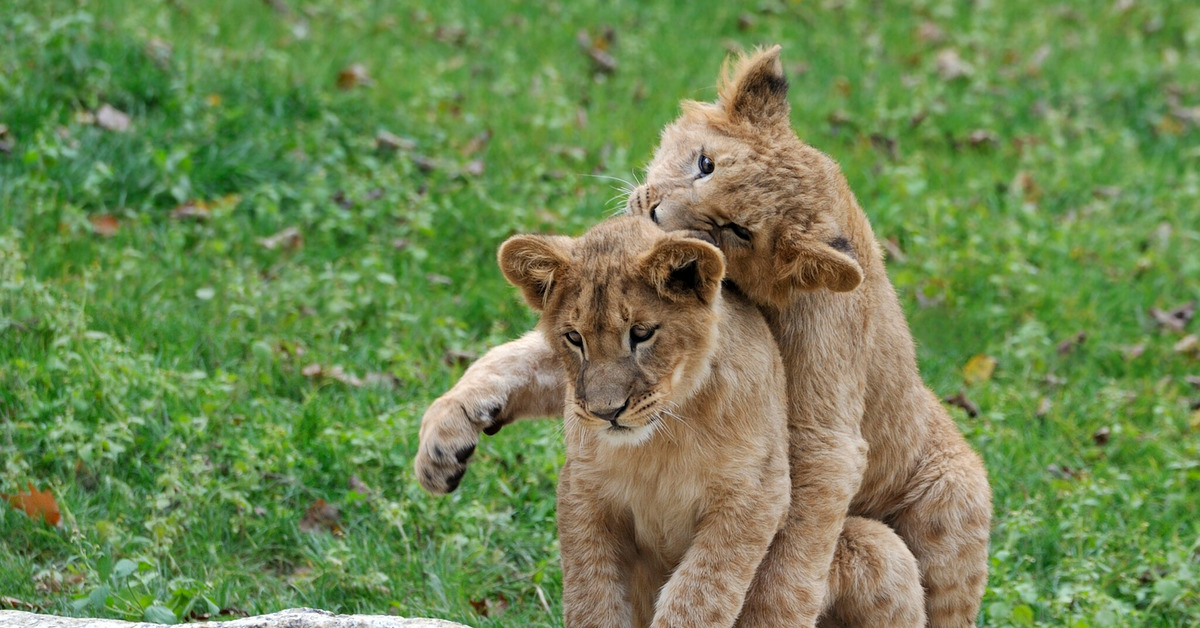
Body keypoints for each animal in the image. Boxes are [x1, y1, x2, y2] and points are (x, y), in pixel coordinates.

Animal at [496, 213, 926, 624]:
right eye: (573, 338)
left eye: (642, 333)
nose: (606, 412)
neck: (662, 441)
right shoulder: (584, 492)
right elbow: (592, 599)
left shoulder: (756, 493)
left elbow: (698, 596)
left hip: (879, 545)